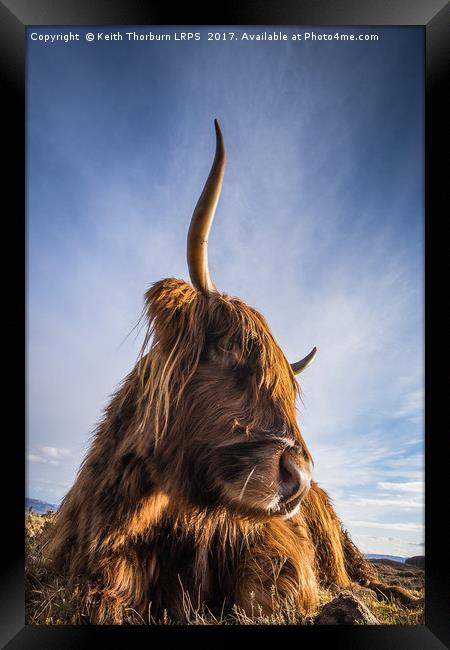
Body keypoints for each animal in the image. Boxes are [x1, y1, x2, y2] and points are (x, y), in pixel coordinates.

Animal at [44, 119, 414, 620]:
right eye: (228, 350)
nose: (298, 480)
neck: (131, 511)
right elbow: (104, 594)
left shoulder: (277, 553)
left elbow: (266, 594)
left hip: (341, 548)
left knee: (367, 579)